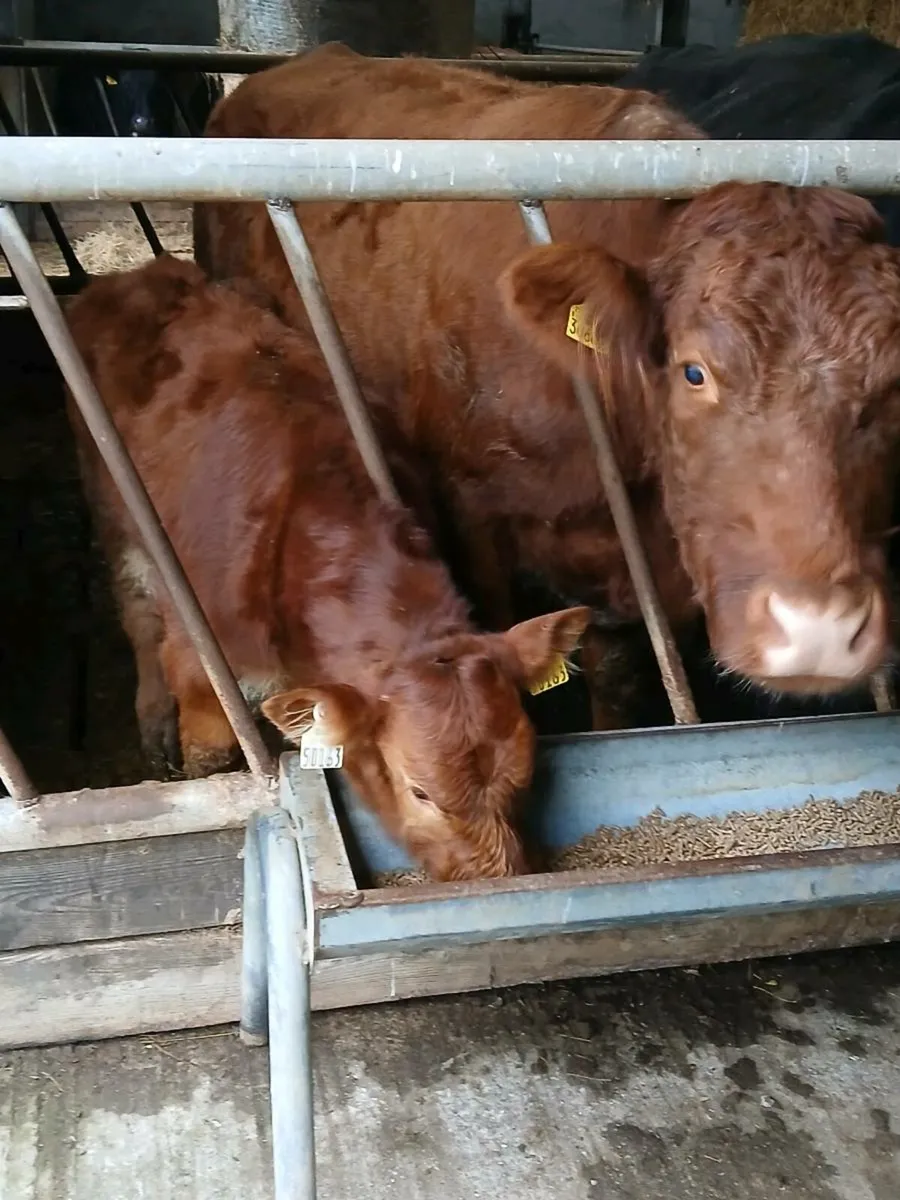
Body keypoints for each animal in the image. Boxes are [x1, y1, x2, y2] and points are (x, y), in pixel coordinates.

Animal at [65, 253, 591, 881]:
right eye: (419, 791)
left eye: (526, 777)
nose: (498, 879)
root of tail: (136, 275)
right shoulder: (201, 666)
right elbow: (213, 756)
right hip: (114, 510)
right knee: (137, 612)